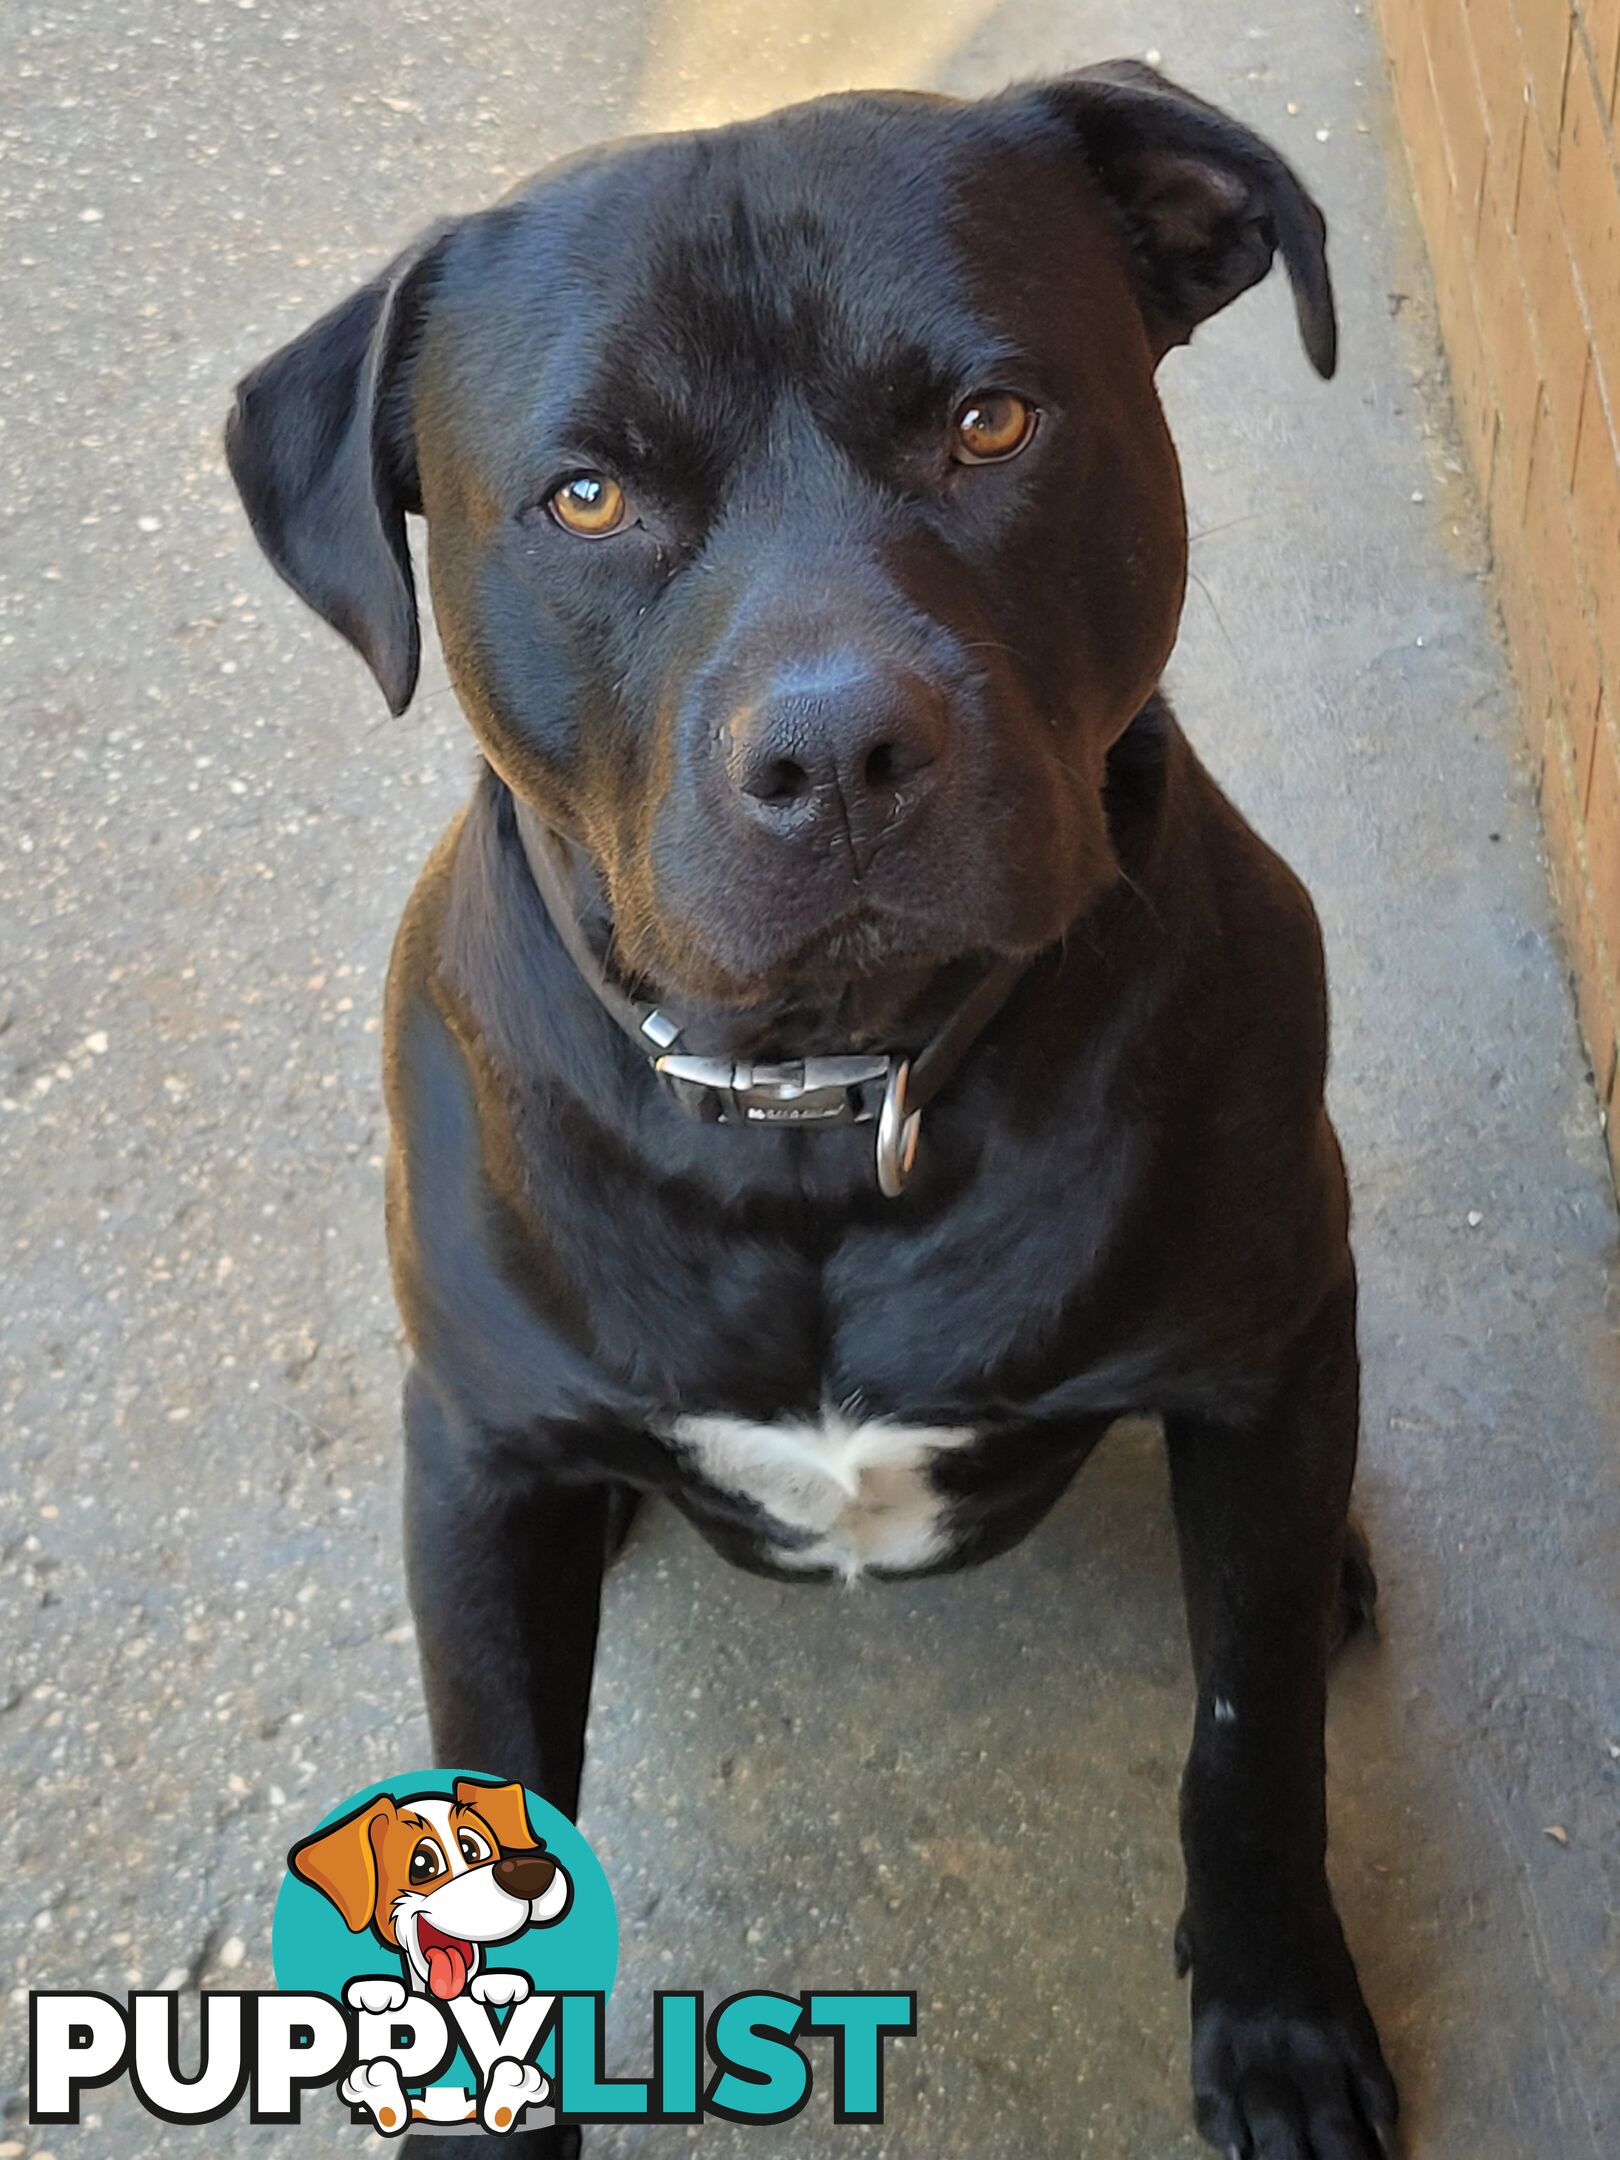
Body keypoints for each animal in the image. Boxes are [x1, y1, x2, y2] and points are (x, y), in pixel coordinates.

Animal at [231, 59, 1408, 2151]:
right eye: (588, 495)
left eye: (990, 420)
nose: (840, 749)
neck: (822, 1096)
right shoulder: (479, 1469)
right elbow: (497, 1765)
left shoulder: (1267, 1354)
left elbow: (1249, 1738)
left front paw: (1277, 2017)